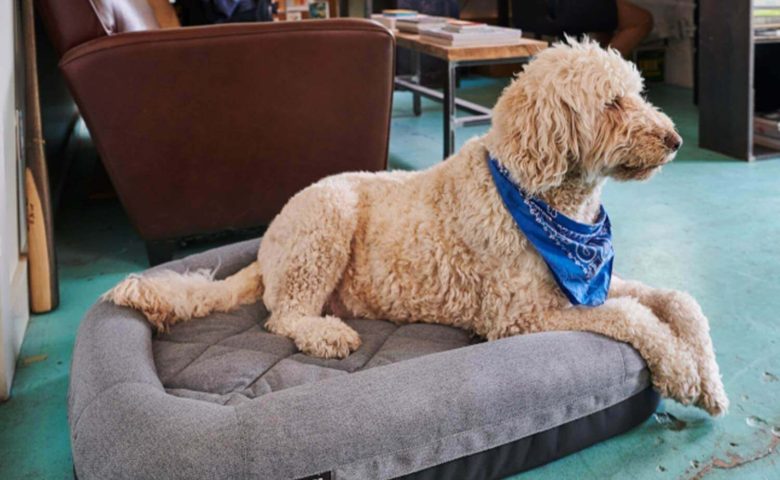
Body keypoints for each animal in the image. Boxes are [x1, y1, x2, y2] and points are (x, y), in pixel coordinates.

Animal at [106, 38, 728, 416]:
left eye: (639, 93)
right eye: (611, 103)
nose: (675, 139)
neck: (541, 199)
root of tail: (263, 251)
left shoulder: (590, 283)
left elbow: (677, 299)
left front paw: (710, 379)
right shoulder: (521, 315)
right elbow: (633, 316)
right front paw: (682, 373)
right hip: (326, 218)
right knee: (281, 316)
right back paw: (326, 334)